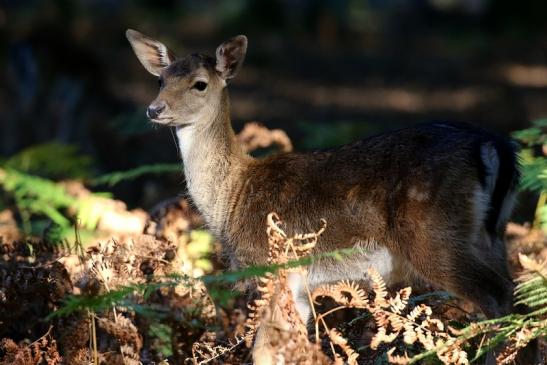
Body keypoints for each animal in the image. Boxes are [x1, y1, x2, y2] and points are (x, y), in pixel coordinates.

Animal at [127, 29, 540, 364]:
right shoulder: (298, 282)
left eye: (199, 84)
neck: (231, 200)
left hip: (435, 234)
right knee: (520, 296)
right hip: (491, 236)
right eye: (160, 80)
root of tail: (496, 146)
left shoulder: (273, 265)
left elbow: (265, 350)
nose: (154, 108)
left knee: (497, 296)